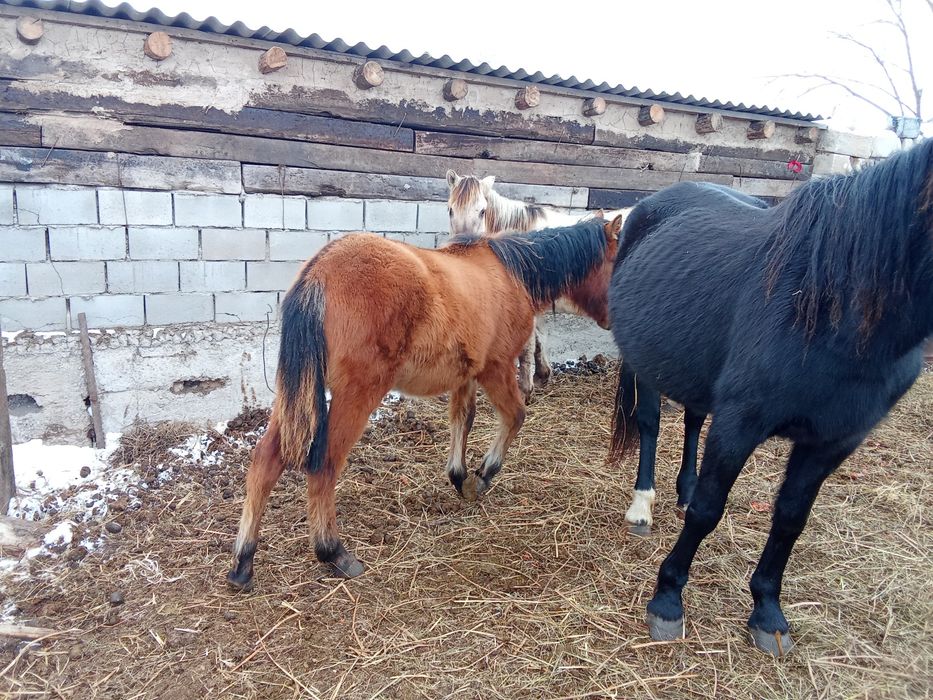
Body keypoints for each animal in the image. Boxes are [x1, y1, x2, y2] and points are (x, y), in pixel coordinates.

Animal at [227, 215, 622, 590]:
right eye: (616, 260)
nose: (614, 320)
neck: (510, 272)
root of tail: (320, 271)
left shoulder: (465, 375)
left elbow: (464, 419)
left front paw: (459, 477)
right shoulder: (495, 369)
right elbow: (515, 416)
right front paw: (482, 476)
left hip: (297, 393)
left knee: (266, 459)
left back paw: (242, 565)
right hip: (357, 393)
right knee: (324, 463)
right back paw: (333, 552)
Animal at [446, 170, 622, 402]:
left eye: (482, 211)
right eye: (450, 210)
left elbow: (528, 344)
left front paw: (526, 387)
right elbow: (539, 338)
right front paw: (542, 375)